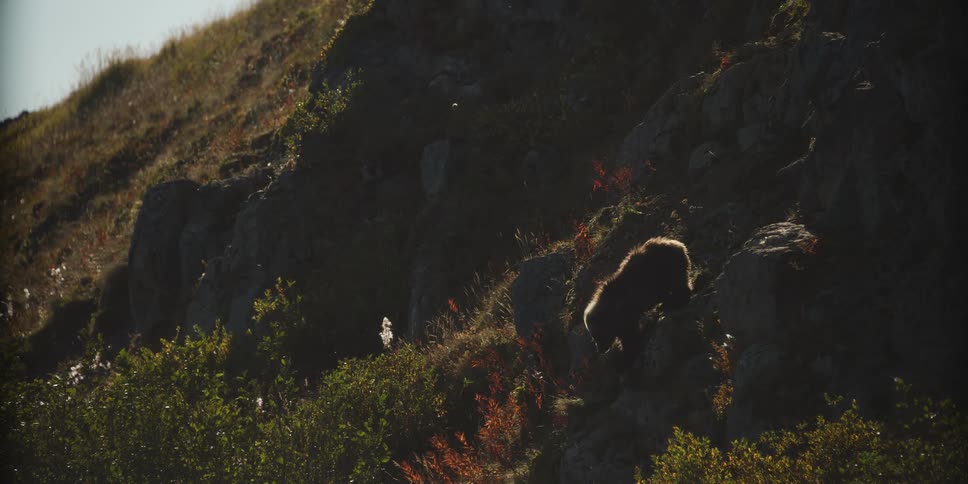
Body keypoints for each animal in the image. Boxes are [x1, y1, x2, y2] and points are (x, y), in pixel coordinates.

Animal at [583, 237, 692, 368]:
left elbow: (630, 335)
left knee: (678, 283)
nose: (600, 349)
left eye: (597, 335)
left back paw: (678, 300)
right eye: (593, 336)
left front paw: (627, 357)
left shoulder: (625, 313)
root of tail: (676, 243)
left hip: (665, 267)